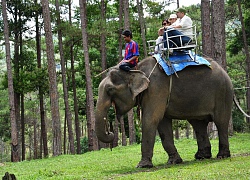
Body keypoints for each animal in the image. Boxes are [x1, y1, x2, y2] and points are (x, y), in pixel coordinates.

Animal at [94, 55, 233, 168]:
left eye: (110, 90)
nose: (110, 132)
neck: (136, 69)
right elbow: (162, 123)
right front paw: (174, 162)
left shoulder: (157, 88)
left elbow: (151, 119)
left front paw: (142, 166)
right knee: (198, 124)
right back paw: (201, 157)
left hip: (223, 93)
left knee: (221, 122)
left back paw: (222, 156)